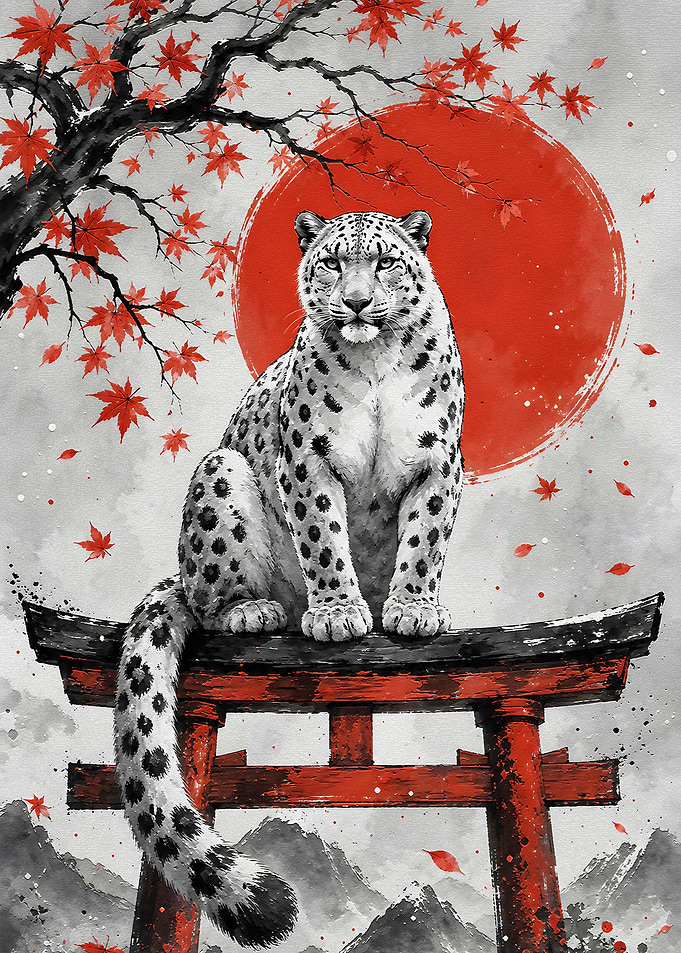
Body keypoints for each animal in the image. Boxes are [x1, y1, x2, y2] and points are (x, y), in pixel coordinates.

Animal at [114, 209, 465, 947]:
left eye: (385, 262)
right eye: (331, 263)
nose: (357, 302)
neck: (376, 362)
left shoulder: (436, 460)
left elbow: (423, 540)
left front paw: (413, 608)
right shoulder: (307, 459)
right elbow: (324, 537)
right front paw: (337, 613)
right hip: (219, 478)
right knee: (207, 596)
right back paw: (256, 609)